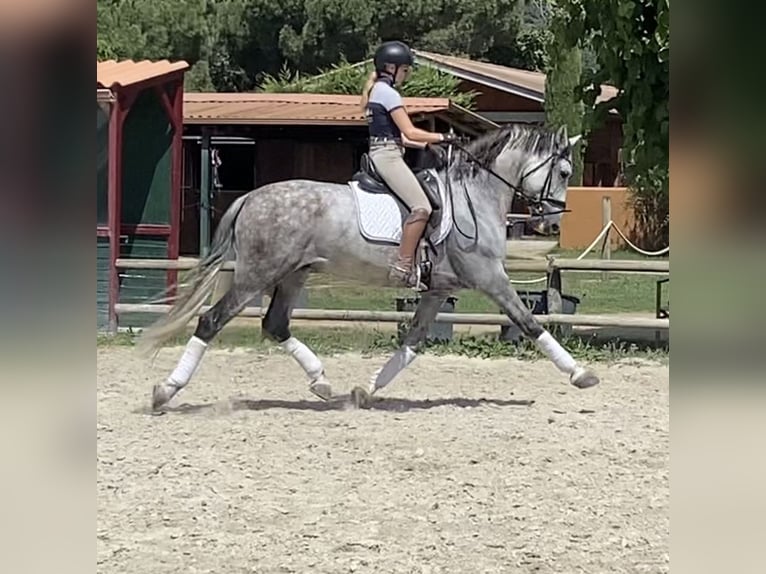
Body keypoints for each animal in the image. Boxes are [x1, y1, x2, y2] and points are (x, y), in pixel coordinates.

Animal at [141, 121, 604, 412]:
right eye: (565, 171)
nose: (551, 223)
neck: (474, 196)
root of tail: (250, 198)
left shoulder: (439, 289)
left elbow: (413, 342)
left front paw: (365, 391)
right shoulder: (489, 277)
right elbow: (530, 322)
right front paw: (580, 374)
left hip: (293, 274)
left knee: (275, 325)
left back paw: (322, 383)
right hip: (258, 275)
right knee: (211, 322)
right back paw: (165, 392)